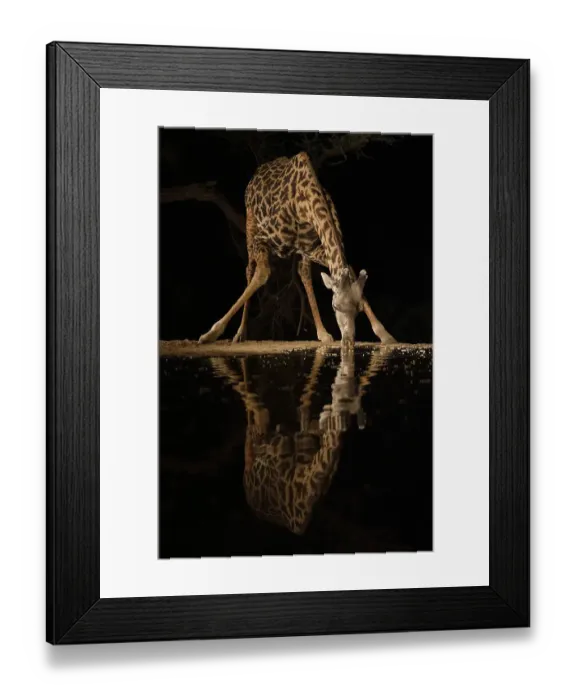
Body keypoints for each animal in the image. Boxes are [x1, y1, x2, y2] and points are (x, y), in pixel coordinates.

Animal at [198, 151, 397, 346]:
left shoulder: (314, 248)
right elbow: (262, 274)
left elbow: (347, 268)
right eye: (334, 306)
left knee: (303, 272)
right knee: (250, 269)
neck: (306, 205)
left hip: (302, 249)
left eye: (358, 309)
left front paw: (385, 335)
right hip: (251, 223)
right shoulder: (264, 238)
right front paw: (210, 334)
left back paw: (322, 333)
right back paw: (240, 333)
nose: (348, 340)